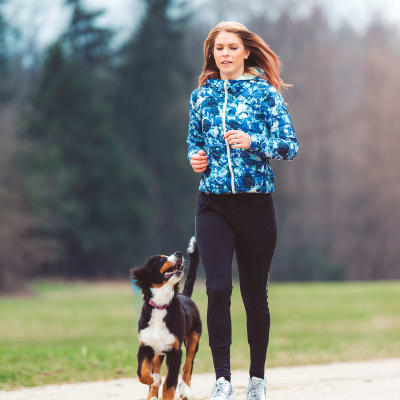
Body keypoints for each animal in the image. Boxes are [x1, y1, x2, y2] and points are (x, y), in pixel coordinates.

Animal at [130, 236, 202, 398]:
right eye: (162, 260)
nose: (179, 253)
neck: (161, 306)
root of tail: (185, 296)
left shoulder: (175, 351)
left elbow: (169, 384)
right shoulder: (145, 346)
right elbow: (142, 373)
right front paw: (155, 380)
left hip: (194, 337)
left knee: (189, 363)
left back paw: (185, 389)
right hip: (158, 349)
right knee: (157, 364)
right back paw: (152, 394)